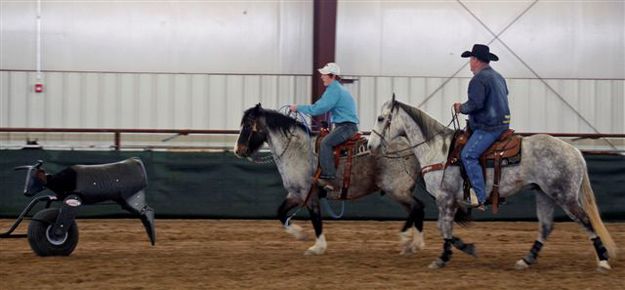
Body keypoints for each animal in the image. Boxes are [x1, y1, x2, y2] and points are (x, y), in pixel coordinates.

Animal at [234, 104, 428, 256]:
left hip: (397, 190)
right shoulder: (295, 194)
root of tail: (410, 149)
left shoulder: (309, 194)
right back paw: (414, 244)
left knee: (417, 207)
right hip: (401, 191)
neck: (297, 150)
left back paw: (408, 240)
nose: (238, 150)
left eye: (248, 124)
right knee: (417, 209)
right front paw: (300, 234)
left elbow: (316, 219)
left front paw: (317, 247)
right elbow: (280, 213)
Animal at [368, 97, 616, 272]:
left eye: (380, 118)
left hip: (564, 196)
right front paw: (465, 247)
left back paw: (603, 261)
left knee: (585, 221)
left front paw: (443, 258)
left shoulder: (445, 197)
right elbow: (444, 227)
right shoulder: (448, 200)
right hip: (544, 194)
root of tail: (574, 151)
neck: (439, 150)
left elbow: (443, 227)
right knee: (546, 227)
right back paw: (526, 260)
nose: (370, 145)